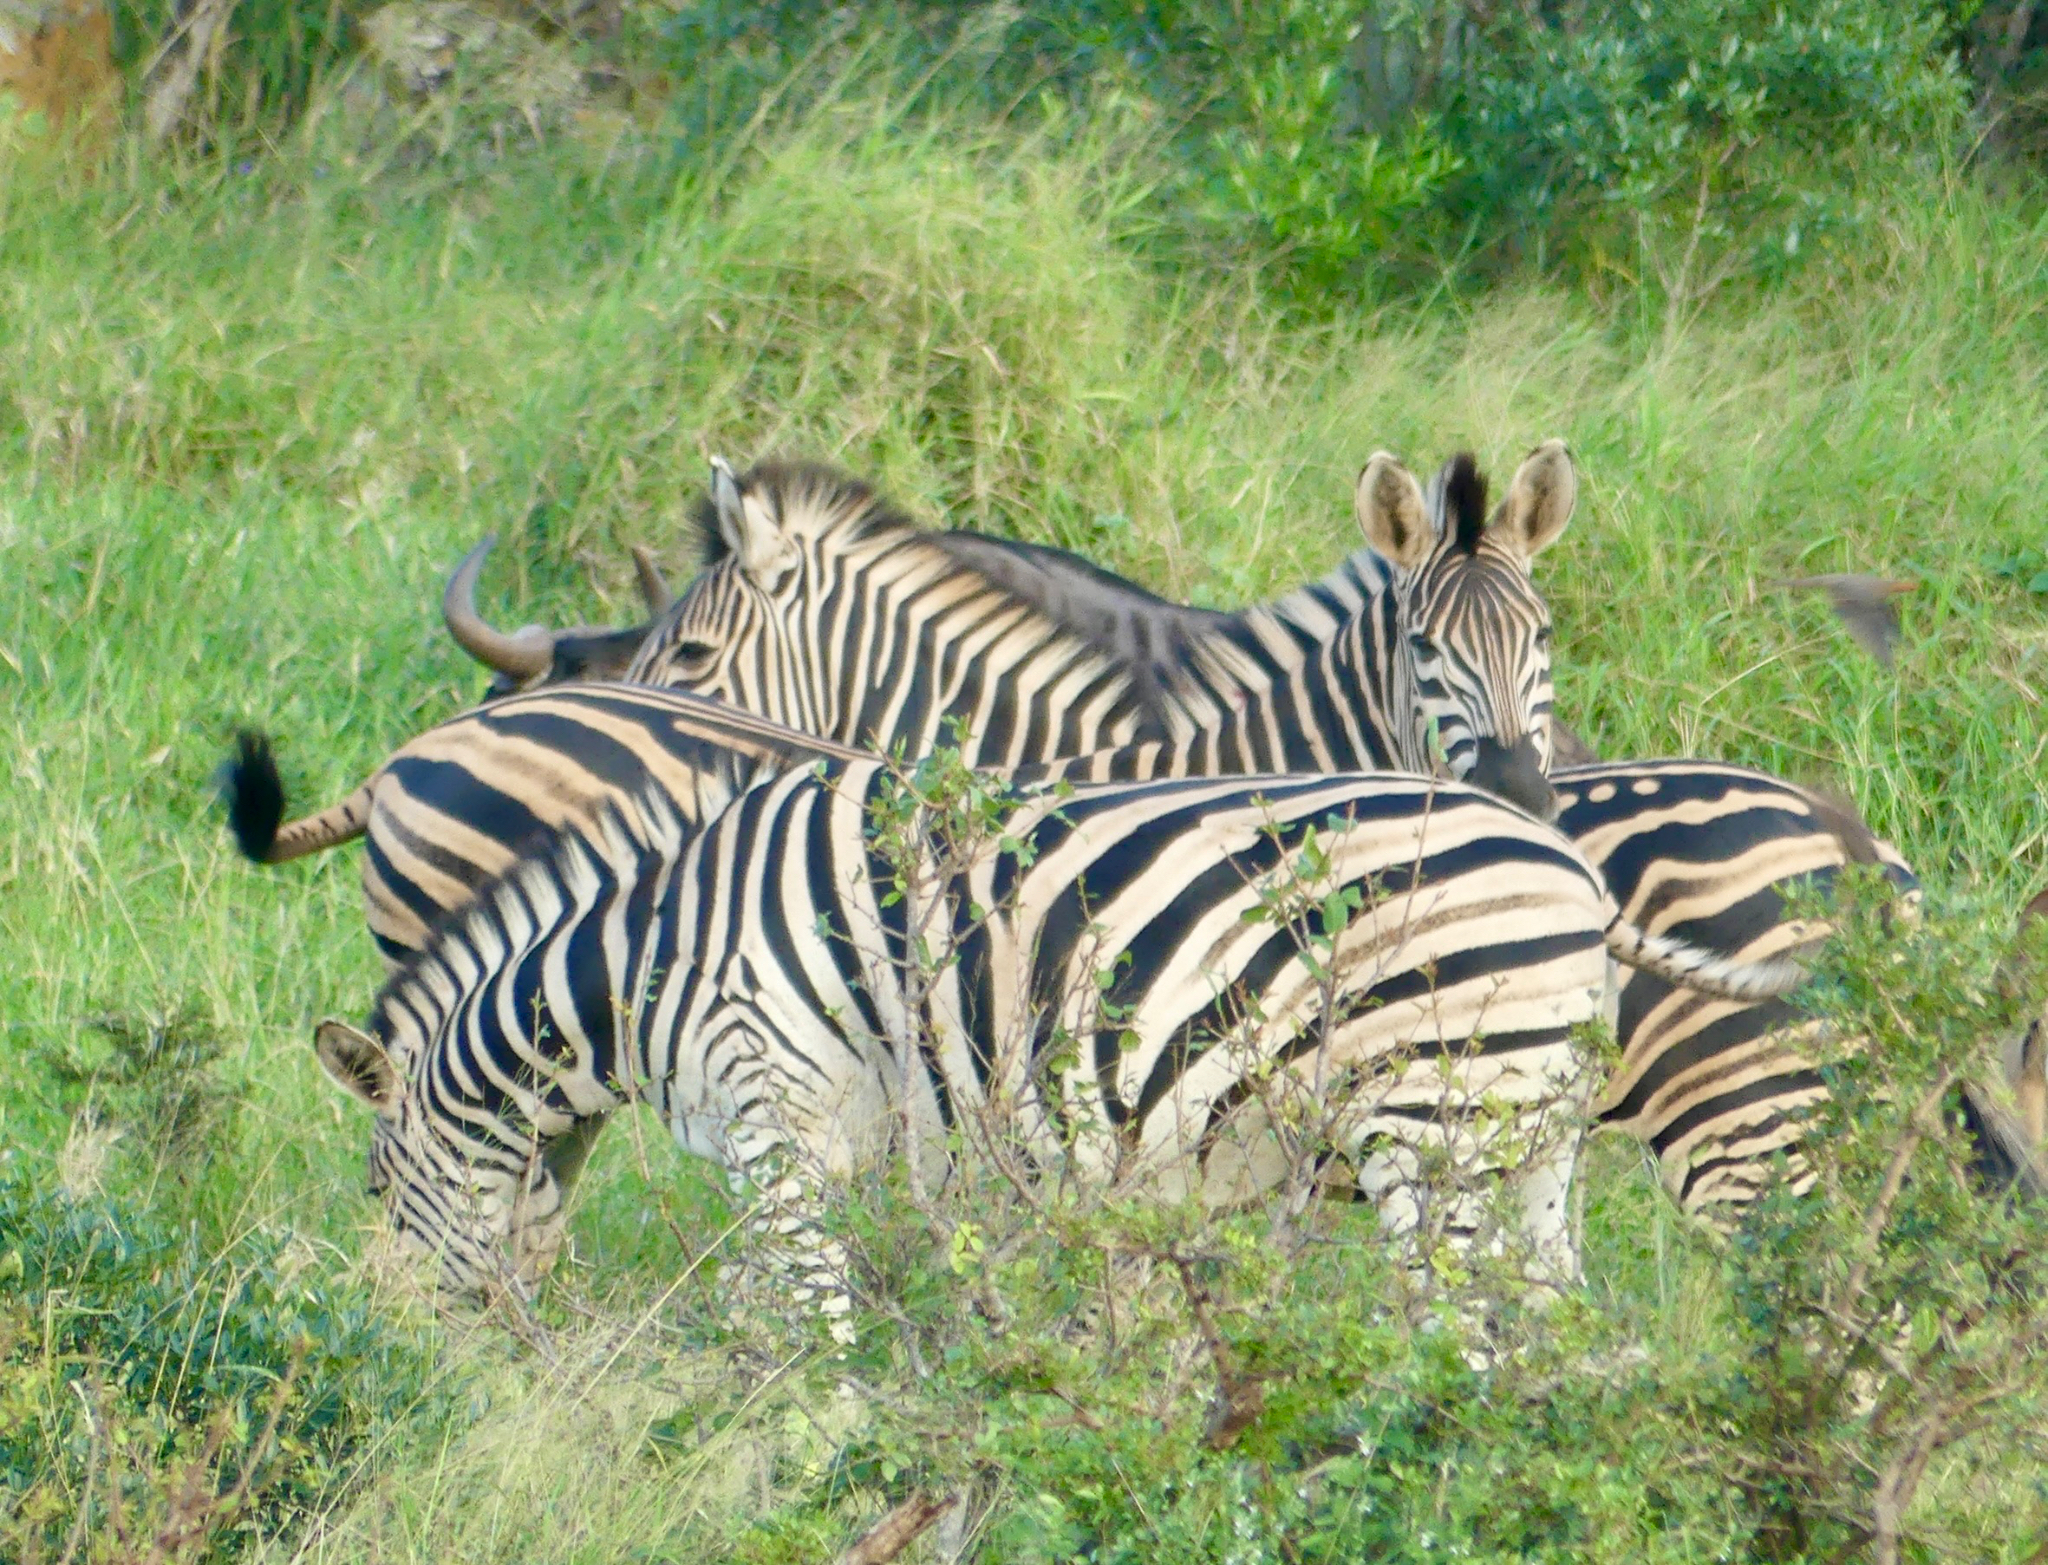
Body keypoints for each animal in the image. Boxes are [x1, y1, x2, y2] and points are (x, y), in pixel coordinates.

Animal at [310, 758, 1801, 1333]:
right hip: (1531, 1133)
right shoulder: (885, 1150)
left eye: (378, 1187)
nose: (405, 1347)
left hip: (1432, 1123)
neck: (650, 964)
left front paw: (811, 1456)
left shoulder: (775, 1115)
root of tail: (1571, 869)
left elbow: (806, 1320)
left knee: (1463, 1338)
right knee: (1550, 1334)